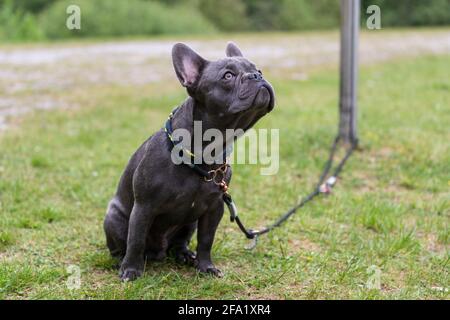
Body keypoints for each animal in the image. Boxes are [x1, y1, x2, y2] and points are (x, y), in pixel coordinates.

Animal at [104, 40, 276, 280]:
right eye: (228, 76)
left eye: (258, 70)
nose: (256, 76)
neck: (204, 153)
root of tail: (158, 252)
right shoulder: (143, 208)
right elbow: (135, 240)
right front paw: (131, 270)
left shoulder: (214, 209)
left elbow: (206, 240)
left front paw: (206, 266)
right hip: (114, 218)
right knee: (125, 244)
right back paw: (123, 261)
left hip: (190, 223)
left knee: (179, 243)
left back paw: (186, 255)